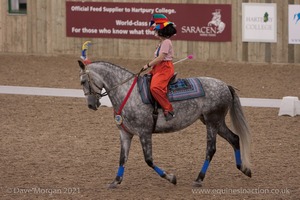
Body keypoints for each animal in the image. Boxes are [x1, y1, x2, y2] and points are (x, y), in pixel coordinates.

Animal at [78, 60, 252, 188]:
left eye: (84, 81)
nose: (91, 105)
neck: (128, 92)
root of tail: (225, 85)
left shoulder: (144, 133)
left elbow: (149, 160)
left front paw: (171, 178)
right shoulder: (125, 133)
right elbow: (122, 158)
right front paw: (115, 181)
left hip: (212, 122)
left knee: (211, 149)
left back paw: (199, 178)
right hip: (216, 122)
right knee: (234, 138)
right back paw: (244, 169)